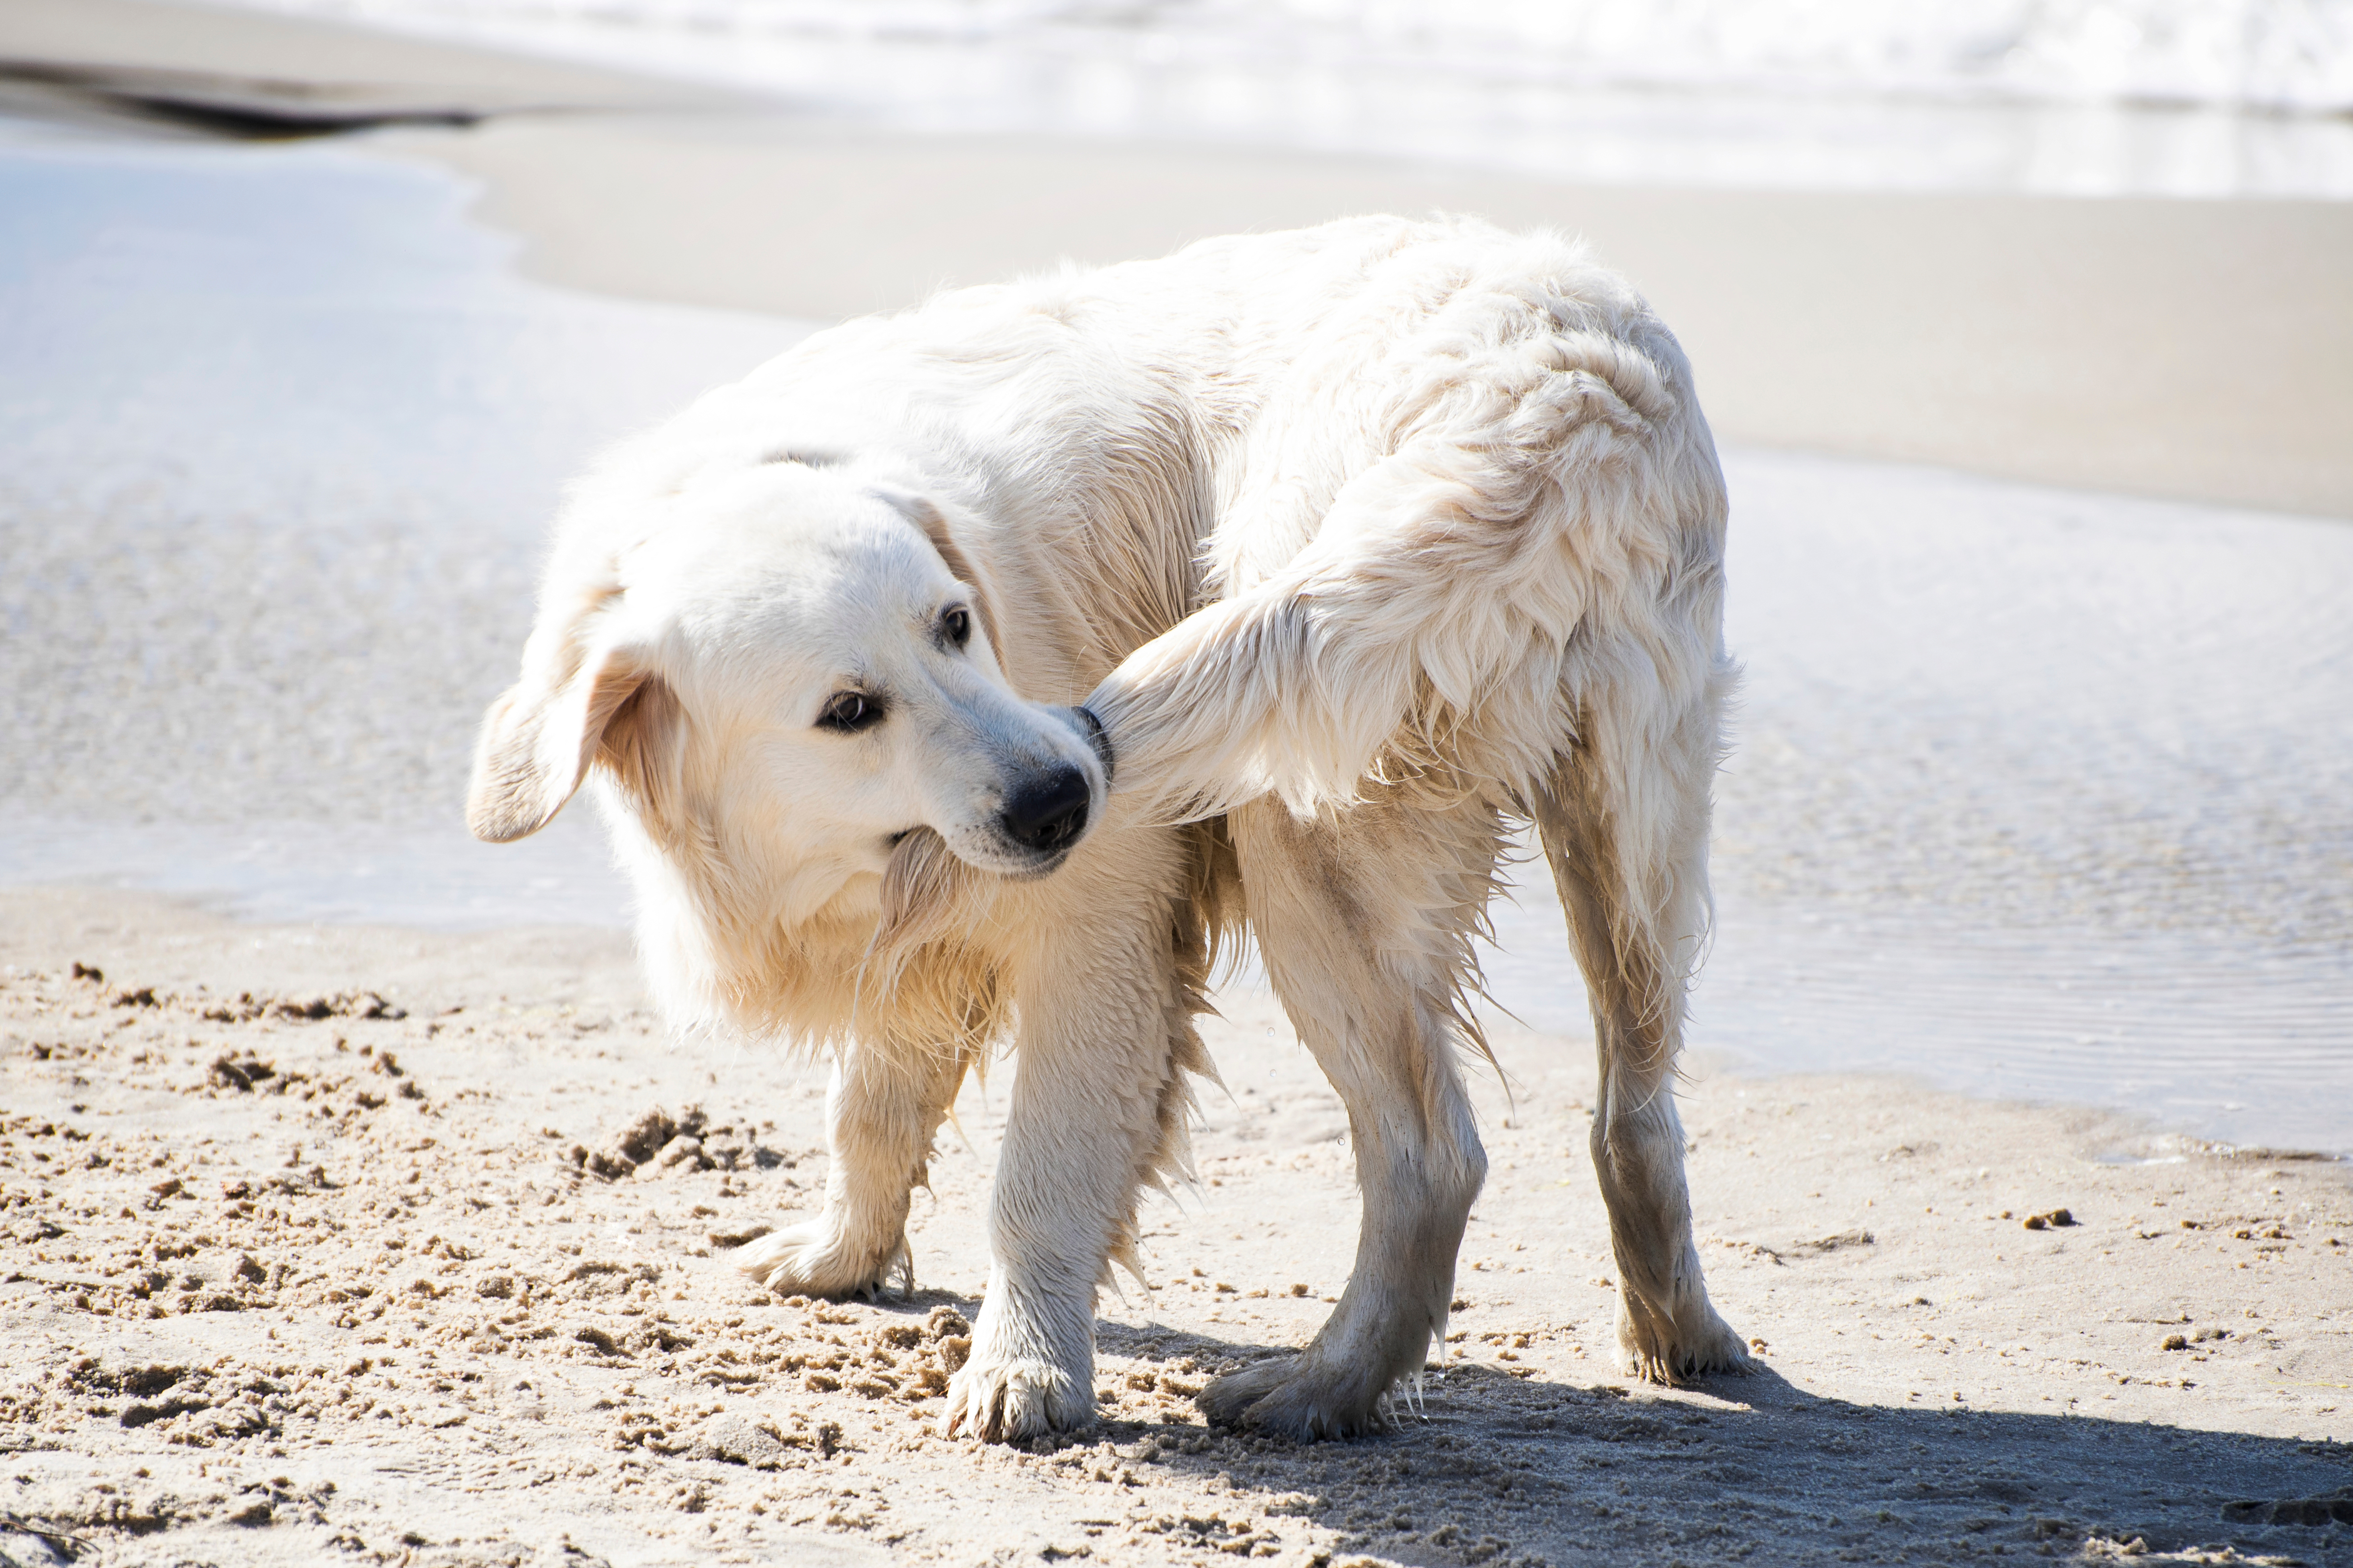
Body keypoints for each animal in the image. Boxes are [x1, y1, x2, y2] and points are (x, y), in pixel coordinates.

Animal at [468, 214, 1751, 1431]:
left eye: (954, 623)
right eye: (847, 711)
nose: (1063, 797)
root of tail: (1559, 392)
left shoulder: (1100, 920)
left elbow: (1037, 1176)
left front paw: (1023, 1367)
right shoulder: (915, 930)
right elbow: (870, 1108)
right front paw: (839, 1257)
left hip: (1305, 827)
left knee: (1433, 1155)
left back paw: (1320, 1390)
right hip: (1630, 829)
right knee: (1634, 1113)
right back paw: (1679, 1335)